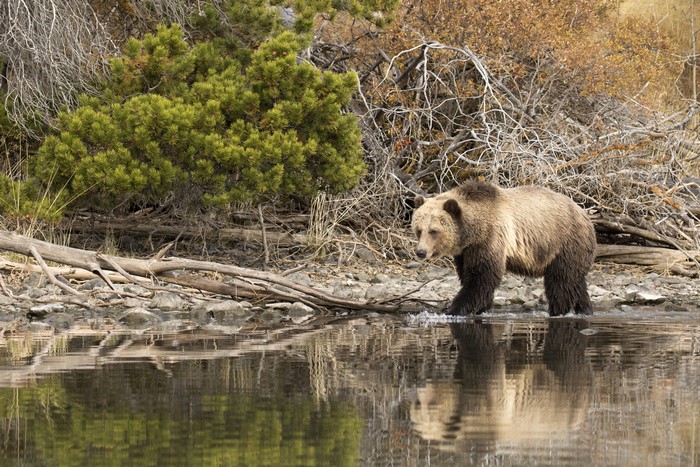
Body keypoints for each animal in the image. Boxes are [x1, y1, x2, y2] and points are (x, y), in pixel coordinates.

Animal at [411, 180, 596, 316]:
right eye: (419, 230)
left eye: (433, 231)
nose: (421, 252)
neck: (473, 231)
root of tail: (584, 213)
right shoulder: (466, 251)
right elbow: (469, 275)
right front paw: (481, 307)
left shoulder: (490, 238)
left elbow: (481, 277)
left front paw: (455, 309)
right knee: (576, 281)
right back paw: (585, 309)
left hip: (564, 242)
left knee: (561, 281)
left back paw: (558, 310)